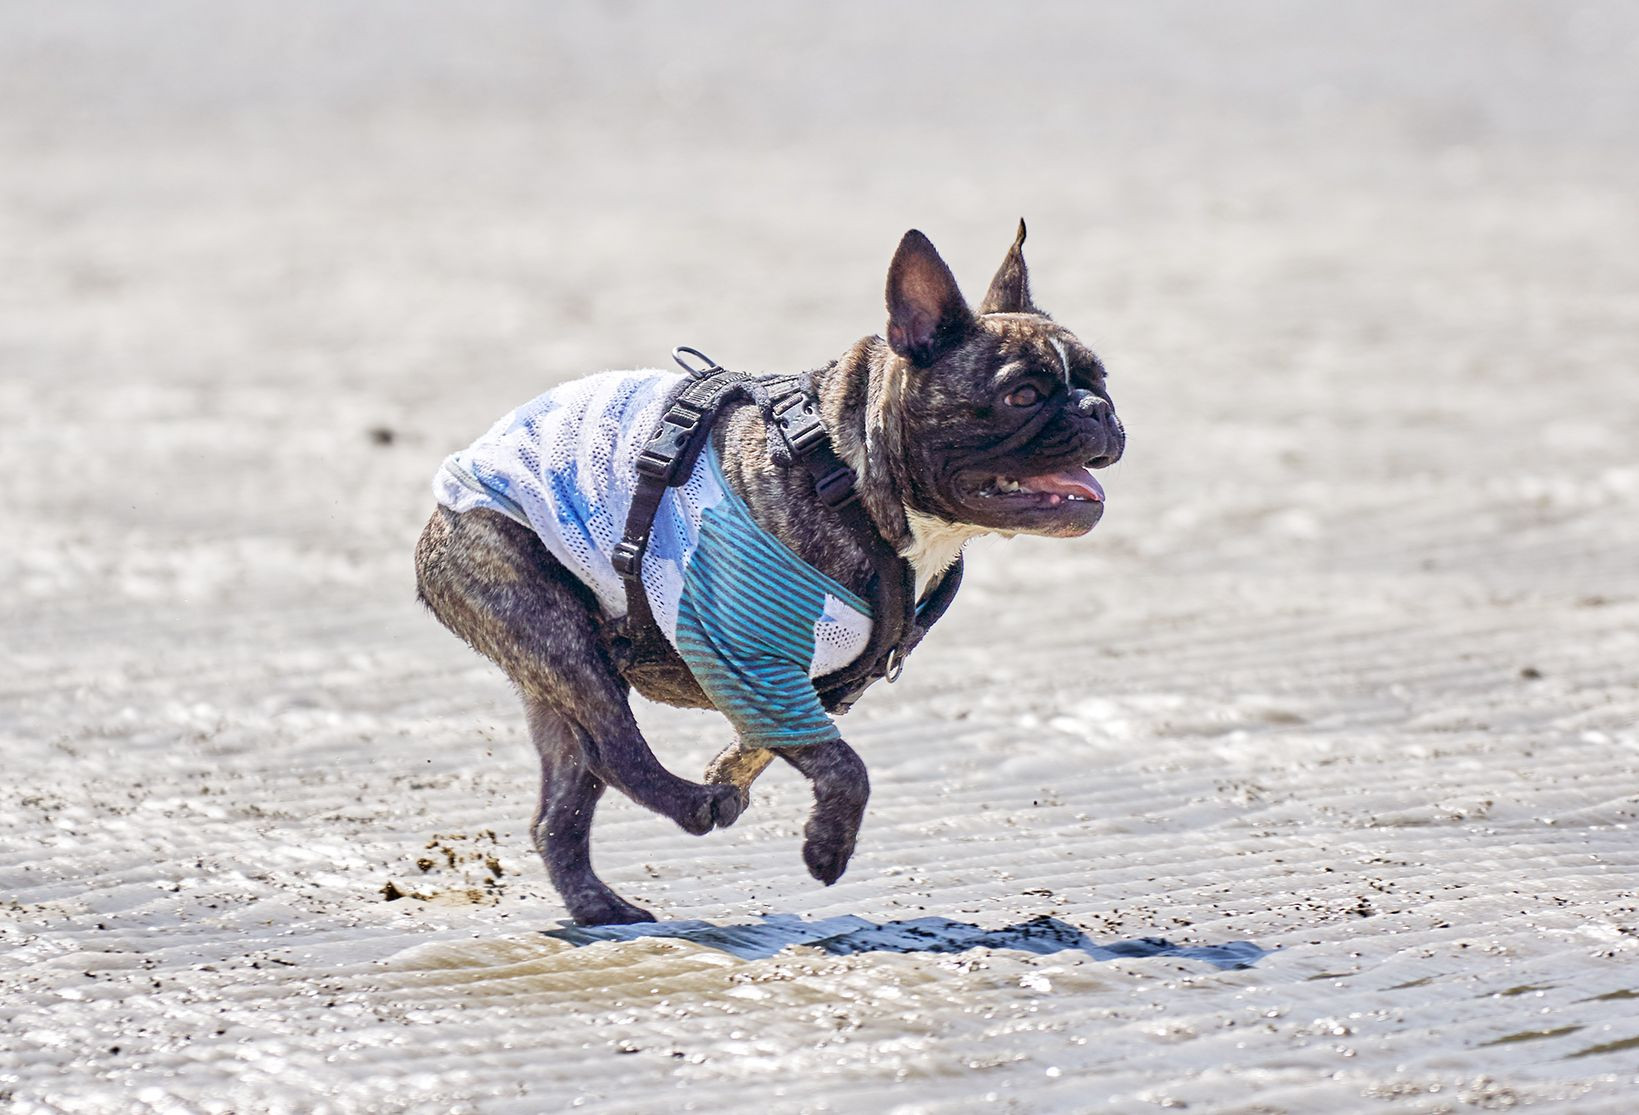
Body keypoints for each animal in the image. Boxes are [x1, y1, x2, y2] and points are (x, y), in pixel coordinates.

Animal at [414, 223, 1124, 925]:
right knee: (610, 746)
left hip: (548, 673)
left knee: (564, 799)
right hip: (551, 625)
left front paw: (729, 770)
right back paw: (690, 807)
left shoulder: (794, 684)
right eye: (1022, 395)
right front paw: (826, 845)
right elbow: (842, 763)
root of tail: (453, 484)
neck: (849, 474)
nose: (1096, 408)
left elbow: (781, 735)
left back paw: (601, 905)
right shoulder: (745, 653)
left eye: (1101, 377)